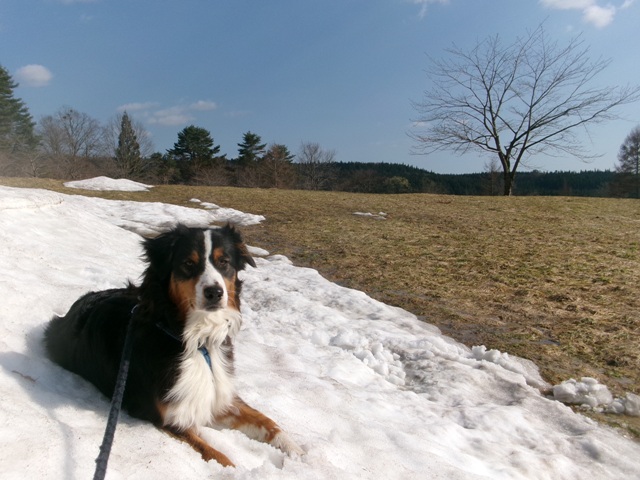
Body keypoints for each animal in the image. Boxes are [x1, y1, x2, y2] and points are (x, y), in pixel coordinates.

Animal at [43, 223, 304, 466]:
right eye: (188, 263)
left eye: (224, 262)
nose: (215, 292)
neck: (196, 340)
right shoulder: (167, 416)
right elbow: (215, 454)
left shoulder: (218, 396)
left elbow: (266, 421)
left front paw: (296, 452)